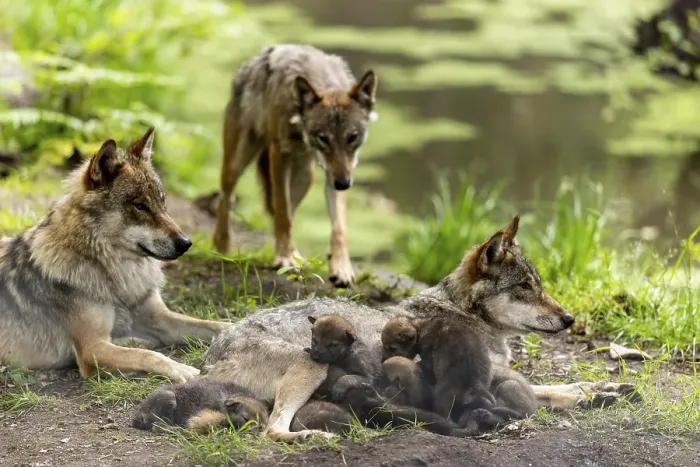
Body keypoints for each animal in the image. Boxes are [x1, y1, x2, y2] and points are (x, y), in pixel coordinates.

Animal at [0, 127, 229, 382]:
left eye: (162, 202)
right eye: (140, 206)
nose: (186, 243)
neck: (118, 277)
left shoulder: (161, 318)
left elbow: (218, 325)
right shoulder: (91, 348)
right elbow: (149, 356)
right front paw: (183, 370)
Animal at [202, 215, 636, 441]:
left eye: (539, 285)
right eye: (526, 288)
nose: (569, 320)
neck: (462, 311)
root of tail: (212, 356)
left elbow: (567, 385)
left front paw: (608, 388)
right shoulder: (492, 377)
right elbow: (552, 392)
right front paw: (599, 395)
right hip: (311, 366)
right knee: (272, 429)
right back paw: (313, 437)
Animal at [211, 44, 379, 288]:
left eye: (352, 137)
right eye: (323, 138)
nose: (343, 184)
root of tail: (249, 64)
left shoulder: (341, 171)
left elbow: (338, 228)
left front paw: (341, 268)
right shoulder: (279, 154)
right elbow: (283, 212)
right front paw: (284, 258)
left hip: (305, 177)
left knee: (282, 210)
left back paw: (296, 254)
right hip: (237, 163)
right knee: (227, 198)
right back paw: (222, 246)